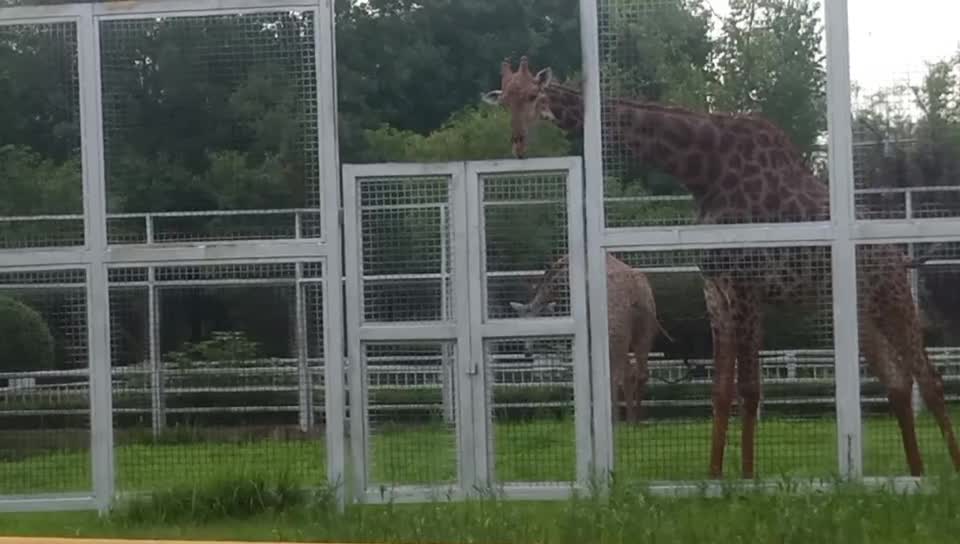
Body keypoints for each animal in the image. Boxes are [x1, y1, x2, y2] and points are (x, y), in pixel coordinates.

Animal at [510, 253, 676, 422]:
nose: (527, 352)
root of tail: (637, 295)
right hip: (644, 330)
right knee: (639, 373)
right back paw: (635, 421)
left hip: (616, 332)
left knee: (618, 374)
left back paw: (617, 420)